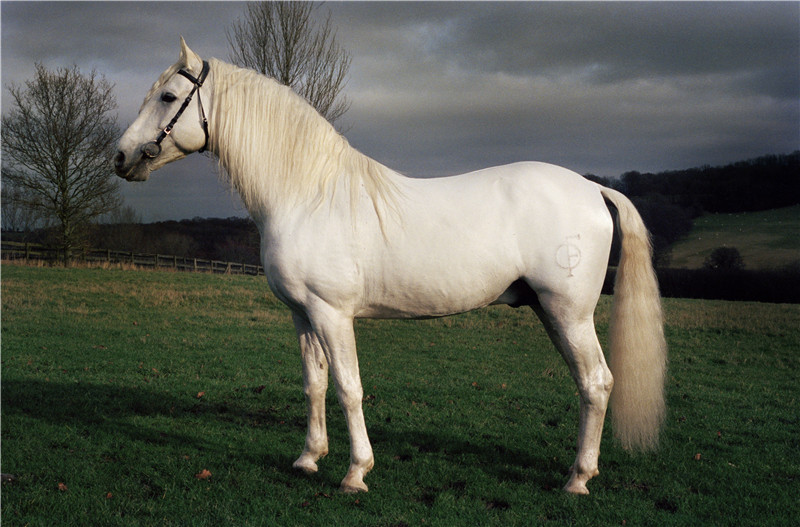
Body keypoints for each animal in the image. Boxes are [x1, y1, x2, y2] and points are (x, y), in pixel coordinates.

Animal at [115, 40, 664, 496]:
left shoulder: (332, 313)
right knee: (588, 384)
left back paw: (577, 479)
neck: (307, 195)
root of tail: (591, 188)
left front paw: (355, 472)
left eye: (167, 96)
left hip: (569, 313)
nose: (120, 157)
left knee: (597, 382)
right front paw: (308, 459)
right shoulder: (302, 315)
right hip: (552, 313)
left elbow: (349, 388)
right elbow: (315, 384)